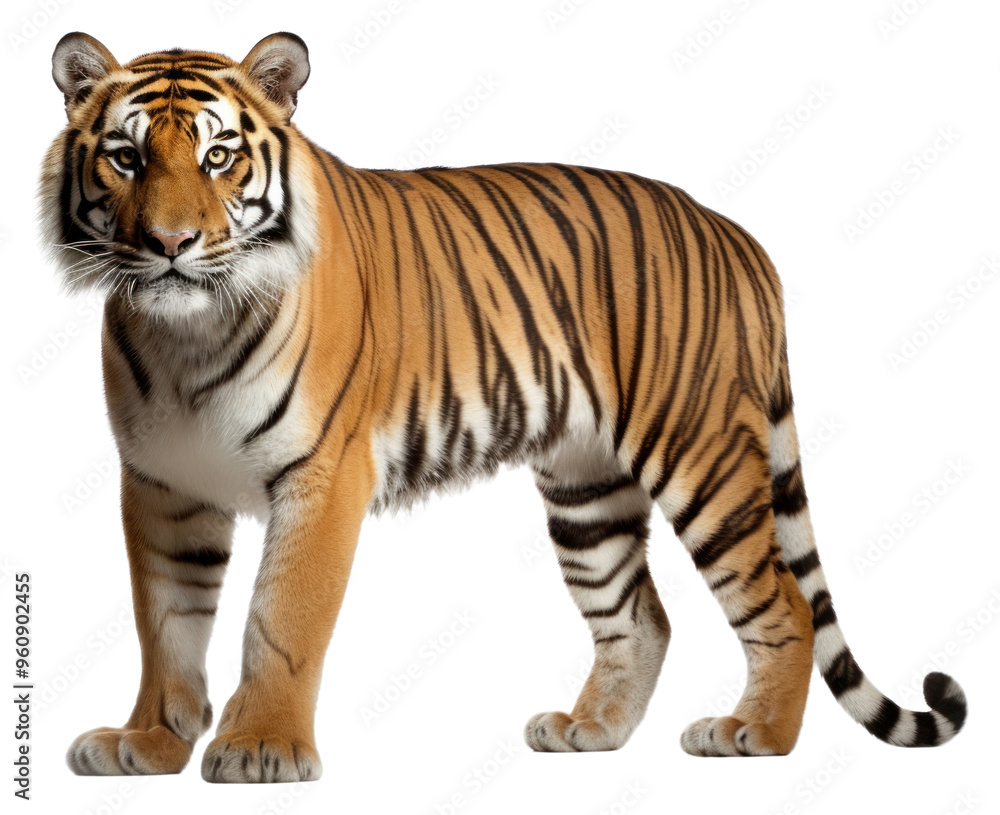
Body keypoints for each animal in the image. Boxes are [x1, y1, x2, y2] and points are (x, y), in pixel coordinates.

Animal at [40, 31, 967, 783]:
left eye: (219, 157)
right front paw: (149, 742)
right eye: (126, 160)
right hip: (587, 489)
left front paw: (262, 747)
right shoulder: (161, 486)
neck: (186, 336)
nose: (169, 244)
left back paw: (755, 734)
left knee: (783, 600)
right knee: (642, 616)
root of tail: (735, 233)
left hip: (703, 458)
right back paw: (591, 730)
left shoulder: (321, 478)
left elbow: (280, 618)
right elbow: (165, 621)